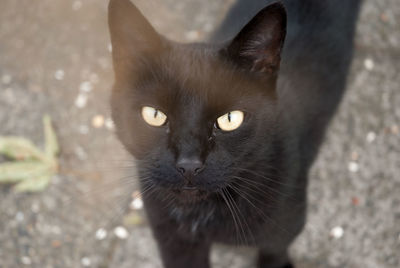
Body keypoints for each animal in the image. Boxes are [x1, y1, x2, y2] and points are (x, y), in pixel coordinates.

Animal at [108, 1, 360, 266]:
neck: (202, 213)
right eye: (154, 114)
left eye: (230, 119)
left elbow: (274, 253)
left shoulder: (284, 231)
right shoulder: (174, 241)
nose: (189, 164)